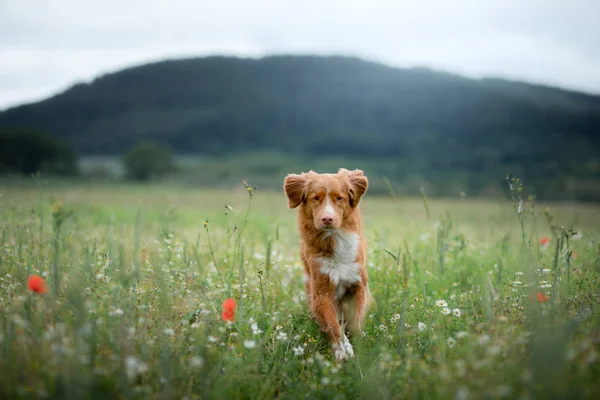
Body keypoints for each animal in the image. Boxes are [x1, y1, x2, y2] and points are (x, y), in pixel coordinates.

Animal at [284, 167, 372, 360]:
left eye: (339, 198)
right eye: (315, 197)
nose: (327, 218)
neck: (334, 240)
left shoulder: (358, 285)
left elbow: (354, 322)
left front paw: (356, 346)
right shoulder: (322, 292)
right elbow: (332, 324)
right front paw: (342, 350)